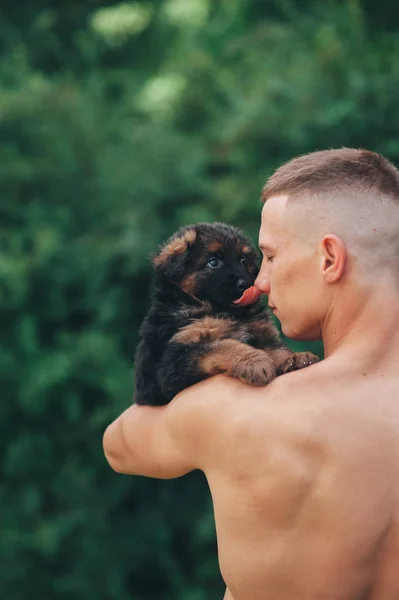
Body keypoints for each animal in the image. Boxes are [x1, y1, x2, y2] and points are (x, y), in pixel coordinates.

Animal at [134, 223, 318, 406]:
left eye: (243, 261)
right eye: (213, 262)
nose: (245, 283)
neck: (225, 311)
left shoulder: (262, 334)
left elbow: (276, 350)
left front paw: (295, 358)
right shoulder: (172, 362)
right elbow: (223, 346)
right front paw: (255, 361)